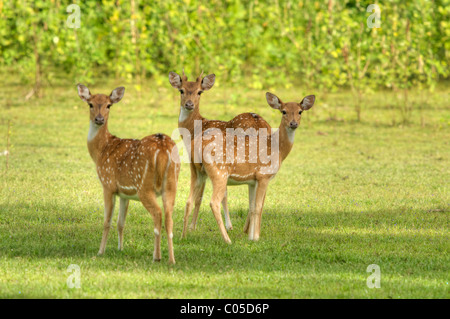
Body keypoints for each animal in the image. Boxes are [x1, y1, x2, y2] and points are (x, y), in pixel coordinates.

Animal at [77, 84, 179, 264]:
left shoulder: (108, 184)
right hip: (172, 184)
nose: (99, 119)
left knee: (158, 214)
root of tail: (162, 149)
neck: (101, 151)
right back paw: (171, 259)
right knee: (169, 217)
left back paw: (157, 256)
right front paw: (120, 248)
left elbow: (107, 222)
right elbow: (120, 222)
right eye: (90, 104)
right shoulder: (124, 193)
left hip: (144, 185)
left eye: (109, 105)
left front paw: (100, 251)